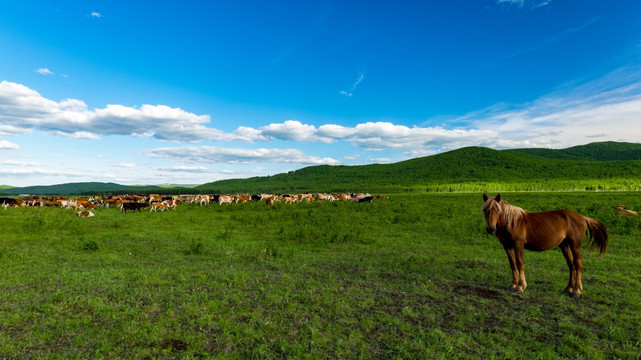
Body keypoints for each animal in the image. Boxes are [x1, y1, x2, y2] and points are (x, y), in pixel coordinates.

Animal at [480, 194, 608, 298]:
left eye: (497, 209)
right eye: (485, 210)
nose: (490, 229)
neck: (512, 222)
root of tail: (582, 217)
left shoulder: (518, 245)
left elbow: (520, 263)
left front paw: (520, 287)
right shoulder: (507, 246)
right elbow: (512, 264)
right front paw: (513, 285)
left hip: (575, 246)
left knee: (578, 264)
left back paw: (577, 291)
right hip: (565, 246)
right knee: (571, 265)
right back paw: (568, 288)